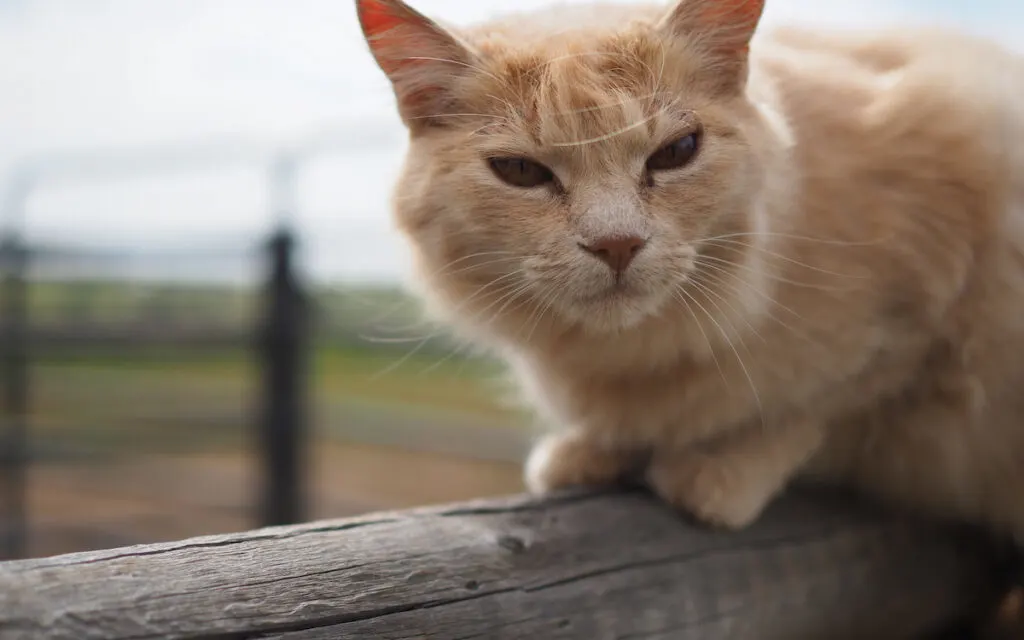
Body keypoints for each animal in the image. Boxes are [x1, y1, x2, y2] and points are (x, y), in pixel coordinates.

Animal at [354, 0, 1024, 540]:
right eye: (520, 171)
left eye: (676, 153)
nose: (616, 244)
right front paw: (592, 454)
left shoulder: (938, 285)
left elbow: (818, 403)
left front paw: (719, 471)